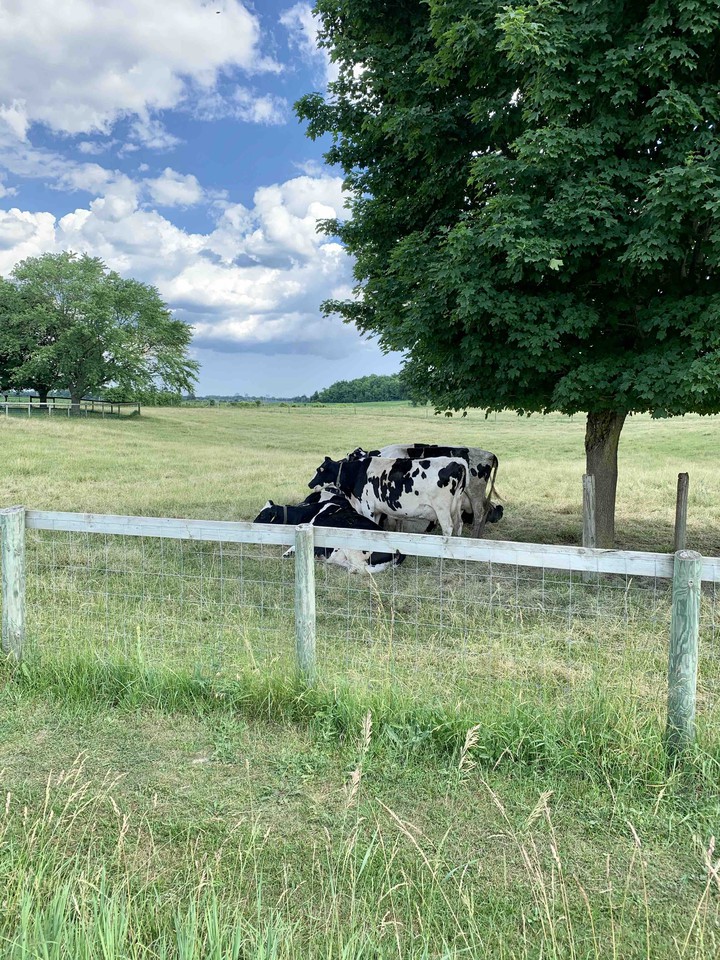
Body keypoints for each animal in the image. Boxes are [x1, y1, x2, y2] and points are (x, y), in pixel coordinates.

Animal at [308, 454, 468, 539]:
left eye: (320, 469)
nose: (310, 484)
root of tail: (456, 461)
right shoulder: (376, 510)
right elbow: (376, 526)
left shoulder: (367, 507)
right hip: (457, 506)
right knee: (459, 523)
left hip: (442, 509)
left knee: (448, 528)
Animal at [348, 444, 502, 536]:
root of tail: (490, 454)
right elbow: (399, 518)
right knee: (487, 508)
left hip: (474, 493)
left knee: (479, 513)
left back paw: (475, 536)